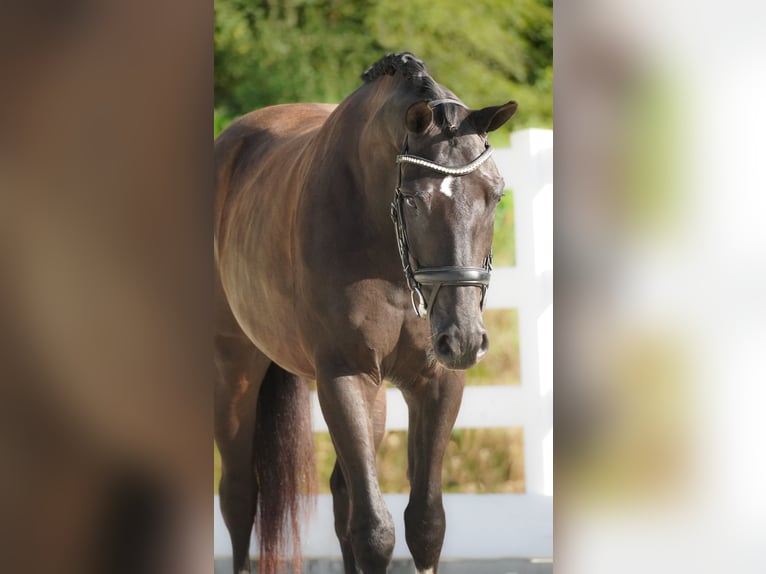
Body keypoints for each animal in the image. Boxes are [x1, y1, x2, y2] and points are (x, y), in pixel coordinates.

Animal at [213, 51, 520, 572]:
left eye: (495, 193)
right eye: (414, 199)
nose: (462, 339)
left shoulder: (437, 382)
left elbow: (425, 523)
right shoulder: (345, 377)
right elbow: (376, 530)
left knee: (342, 497)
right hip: (234, 368)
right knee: (239, 497)